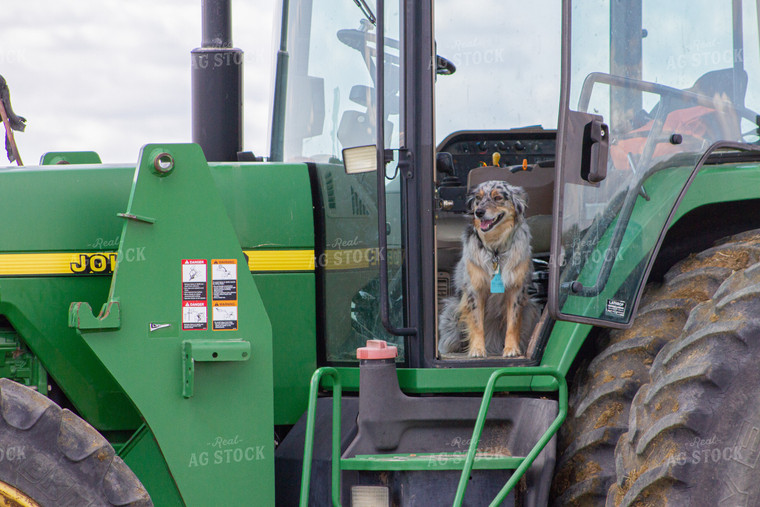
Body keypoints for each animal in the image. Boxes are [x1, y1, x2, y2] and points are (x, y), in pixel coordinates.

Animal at [436, 181, 536, 360]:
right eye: (478, 198)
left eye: (497, 198)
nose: (479, 212)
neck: (496, 249)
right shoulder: (474, 290)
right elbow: (477, 323)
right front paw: (477, 349)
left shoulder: (516, 290)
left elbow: (513, 322)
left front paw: (511, 349)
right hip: (452, 314)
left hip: (530, 309)